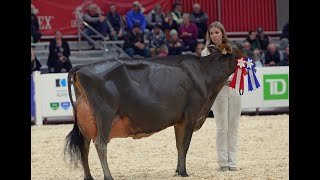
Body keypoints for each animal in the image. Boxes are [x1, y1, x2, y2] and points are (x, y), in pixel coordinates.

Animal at [63, 43, 241, 179]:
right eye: (236, 50)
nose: (245, 56)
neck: (204, 73)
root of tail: (82, 67)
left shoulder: (179, 121)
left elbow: (179, 145)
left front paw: (178, 170)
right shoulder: (191, 116)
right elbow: (185, 145)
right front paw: (184, 172)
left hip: (87, 120)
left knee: (84, 146)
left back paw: (88, 176)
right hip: (105, 114)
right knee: (100, 144)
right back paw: (108, 176)